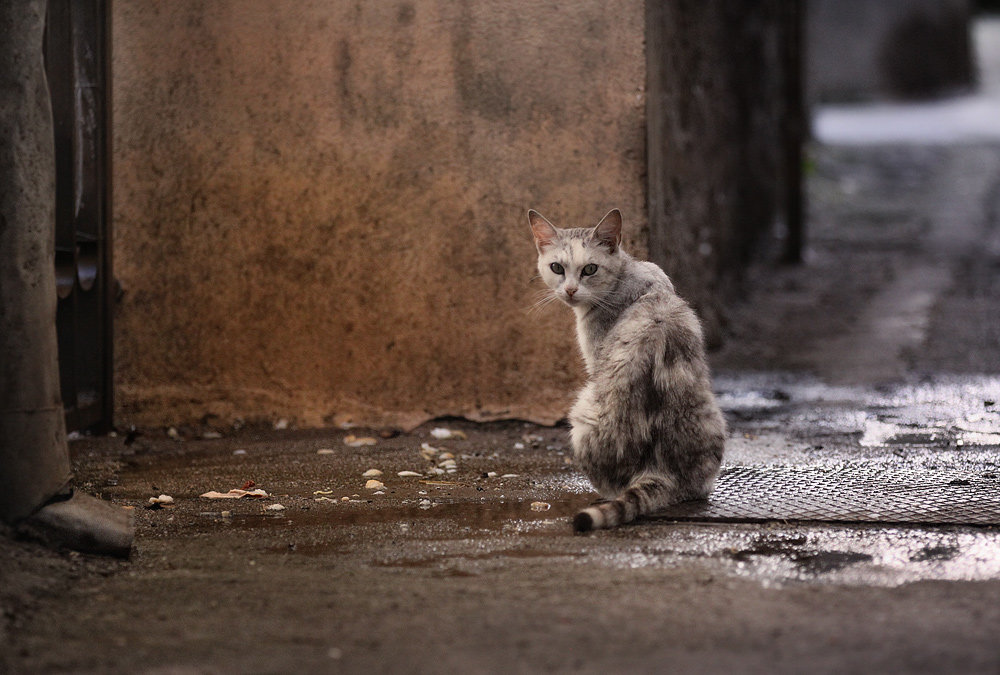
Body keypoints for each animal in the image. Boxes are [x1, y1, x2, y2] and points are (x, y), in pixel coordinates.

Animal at [524, 209, 728, 532]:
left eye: (590, 269)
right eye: (556, 267)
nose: (570, 290)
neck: (627, 273)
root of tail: (659, 471)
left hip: (582, 414)